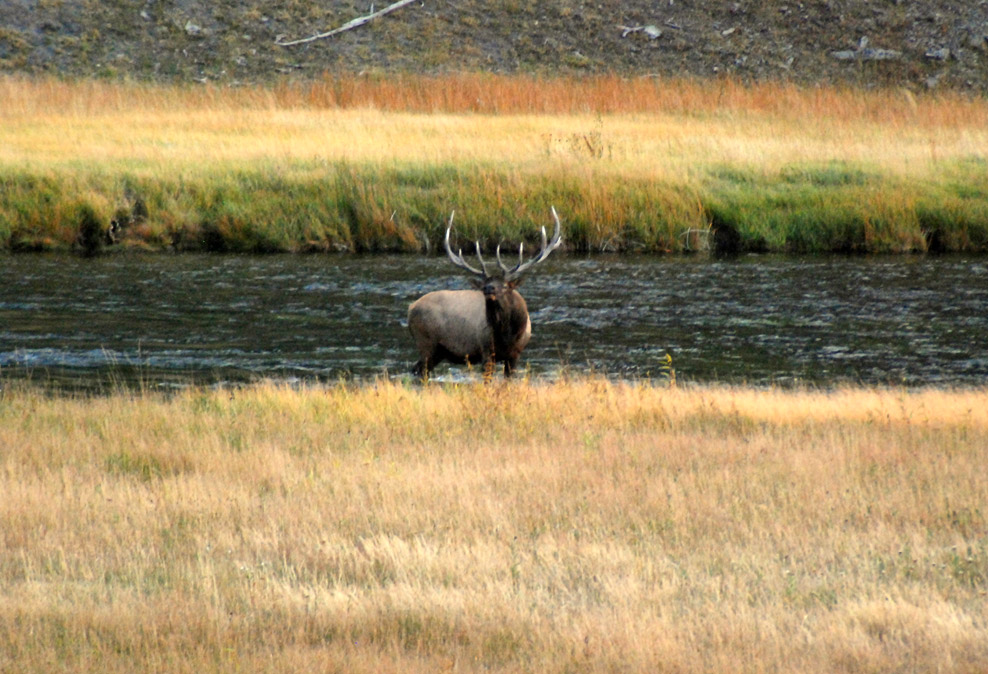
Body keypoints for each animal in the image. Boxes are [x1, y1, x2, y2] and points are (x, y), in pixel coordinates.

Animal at [408, 207, 564, 378]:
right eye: (484, 285)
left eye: (505, 286)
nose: (489, 289)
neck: (509, 336)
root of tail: (411, 308)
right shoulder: (486, 350)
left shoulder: (515, 354)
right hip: (426, 343)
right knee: (419, 371)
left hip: (438, 352)